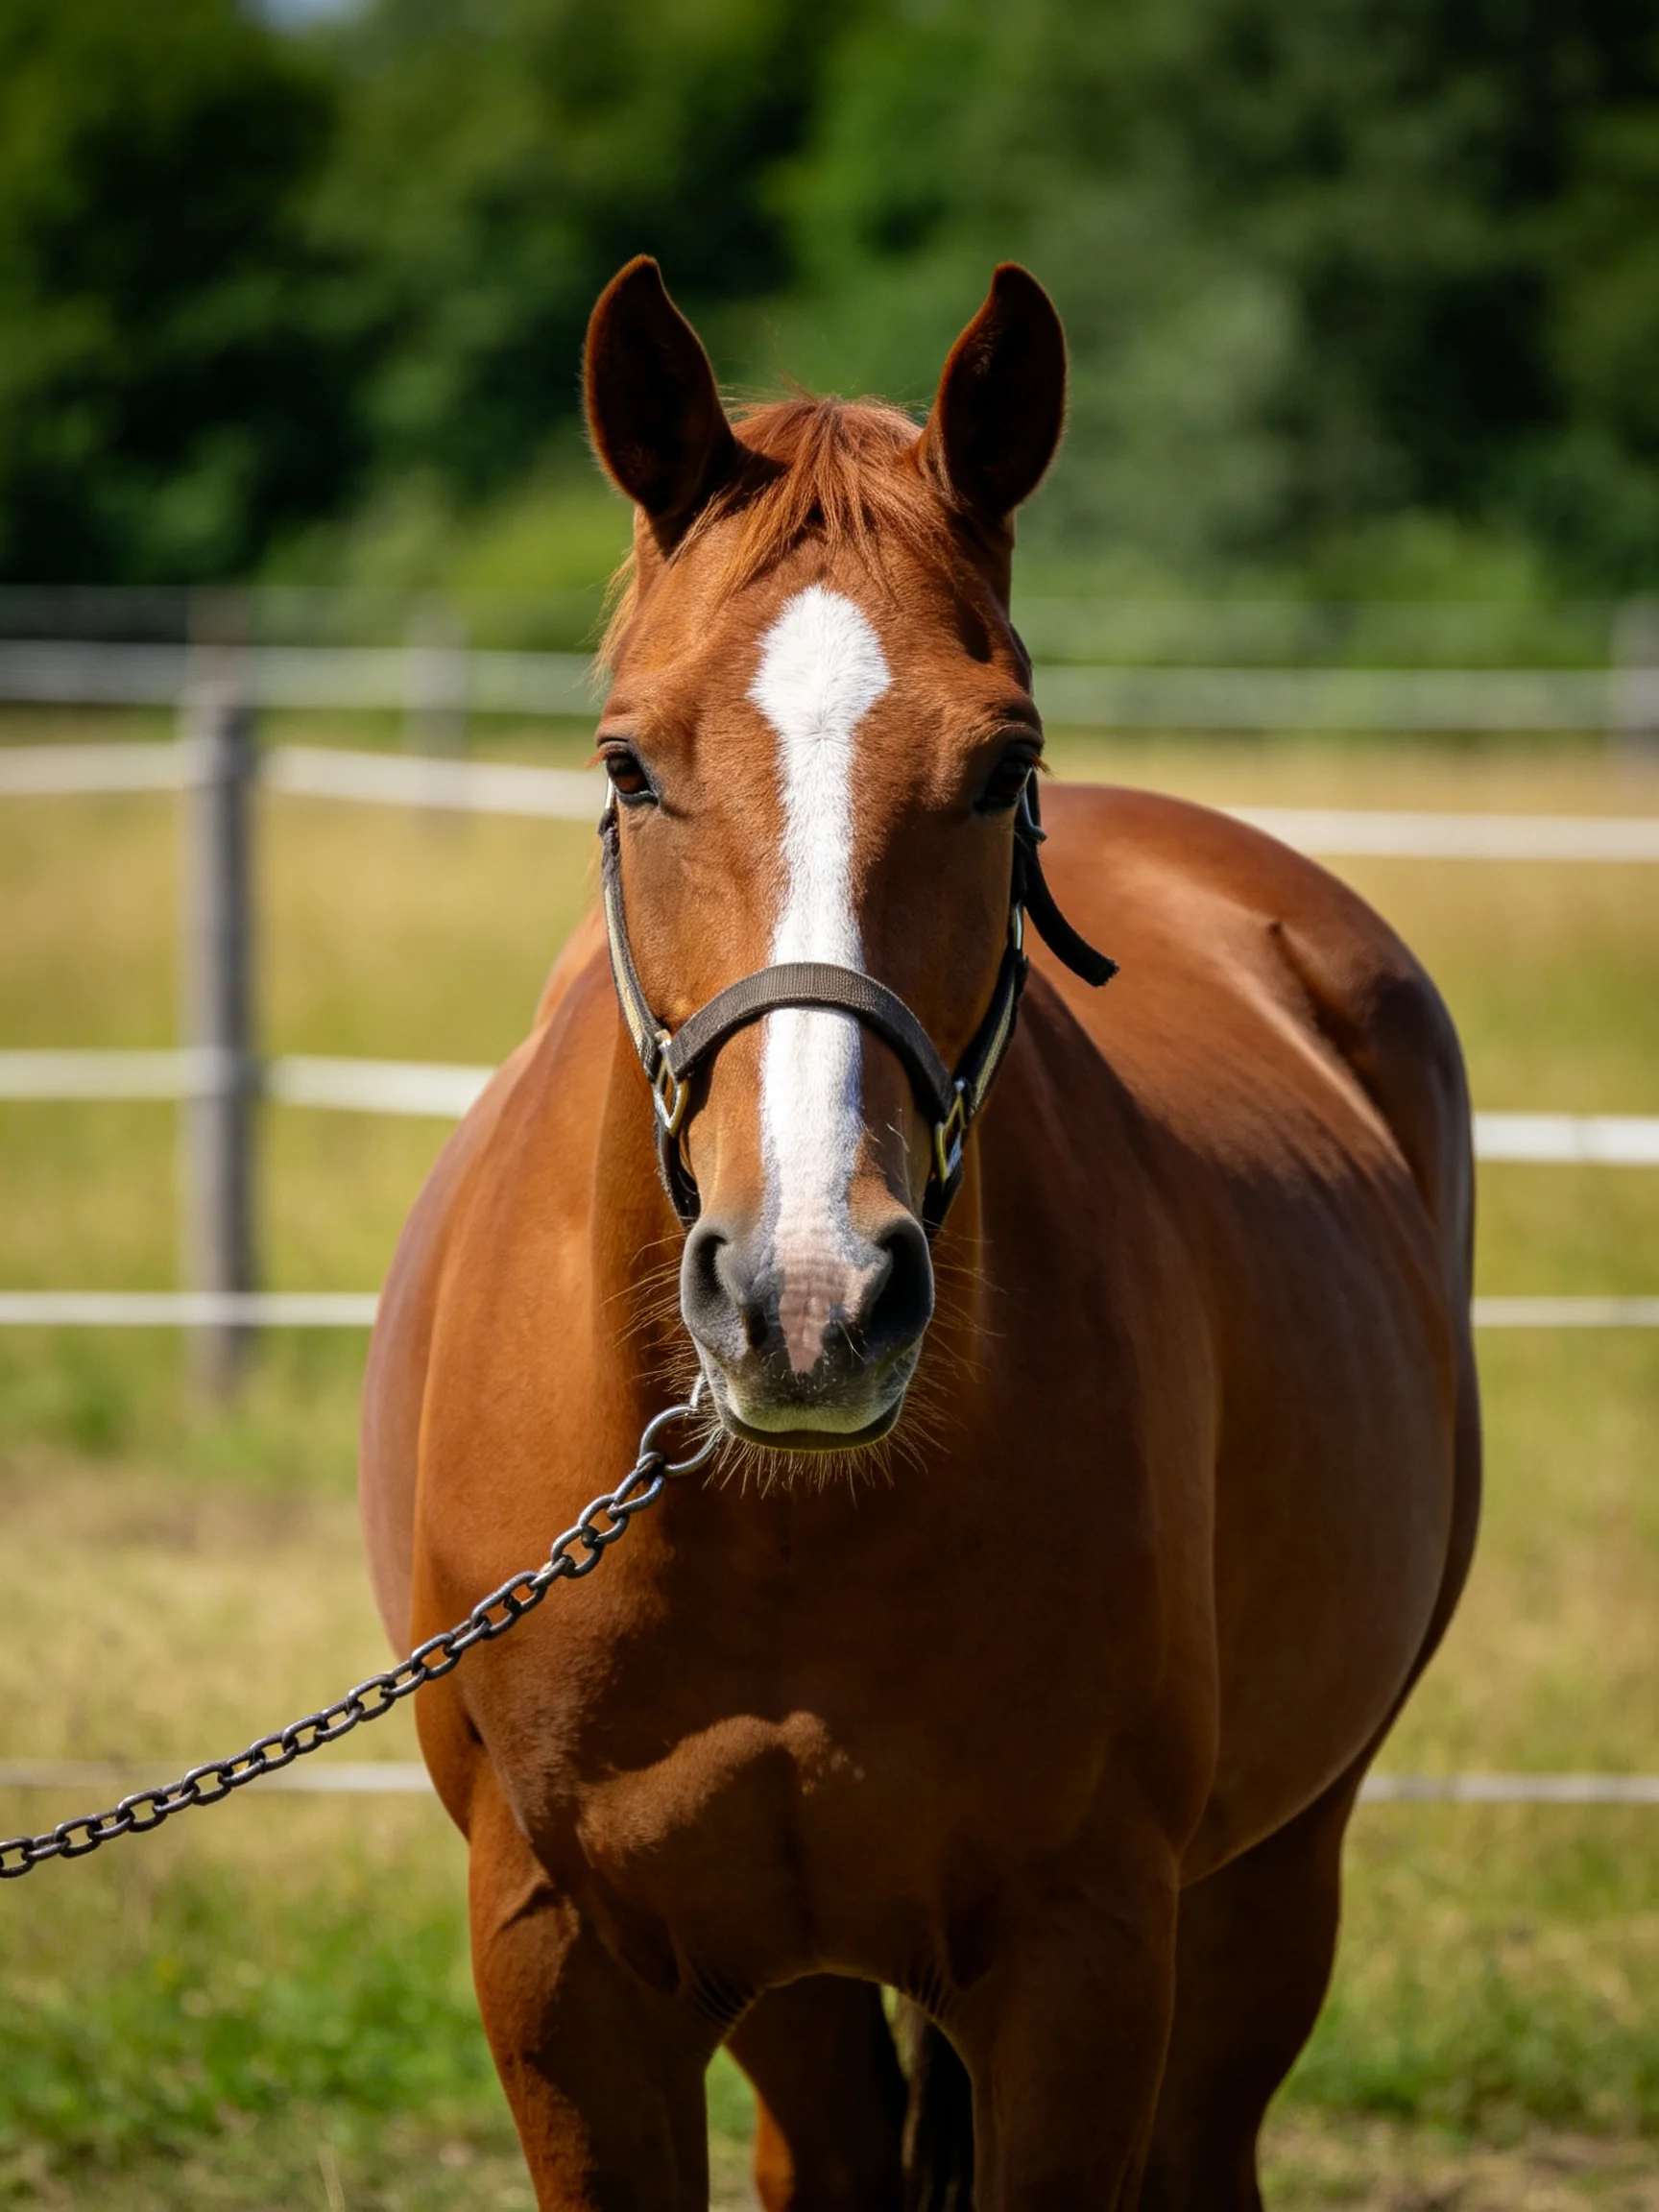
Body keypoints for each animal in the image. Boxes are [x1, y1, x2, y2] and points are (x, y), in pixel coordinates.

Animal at [360, 256, 1480, 2211]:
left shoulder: (1084, 1963)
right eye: (628, 764)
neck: (787, 1525)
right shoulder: (563, 1964)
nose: (807, 1299)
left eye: (1000, 762)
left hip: (1271, 1883)